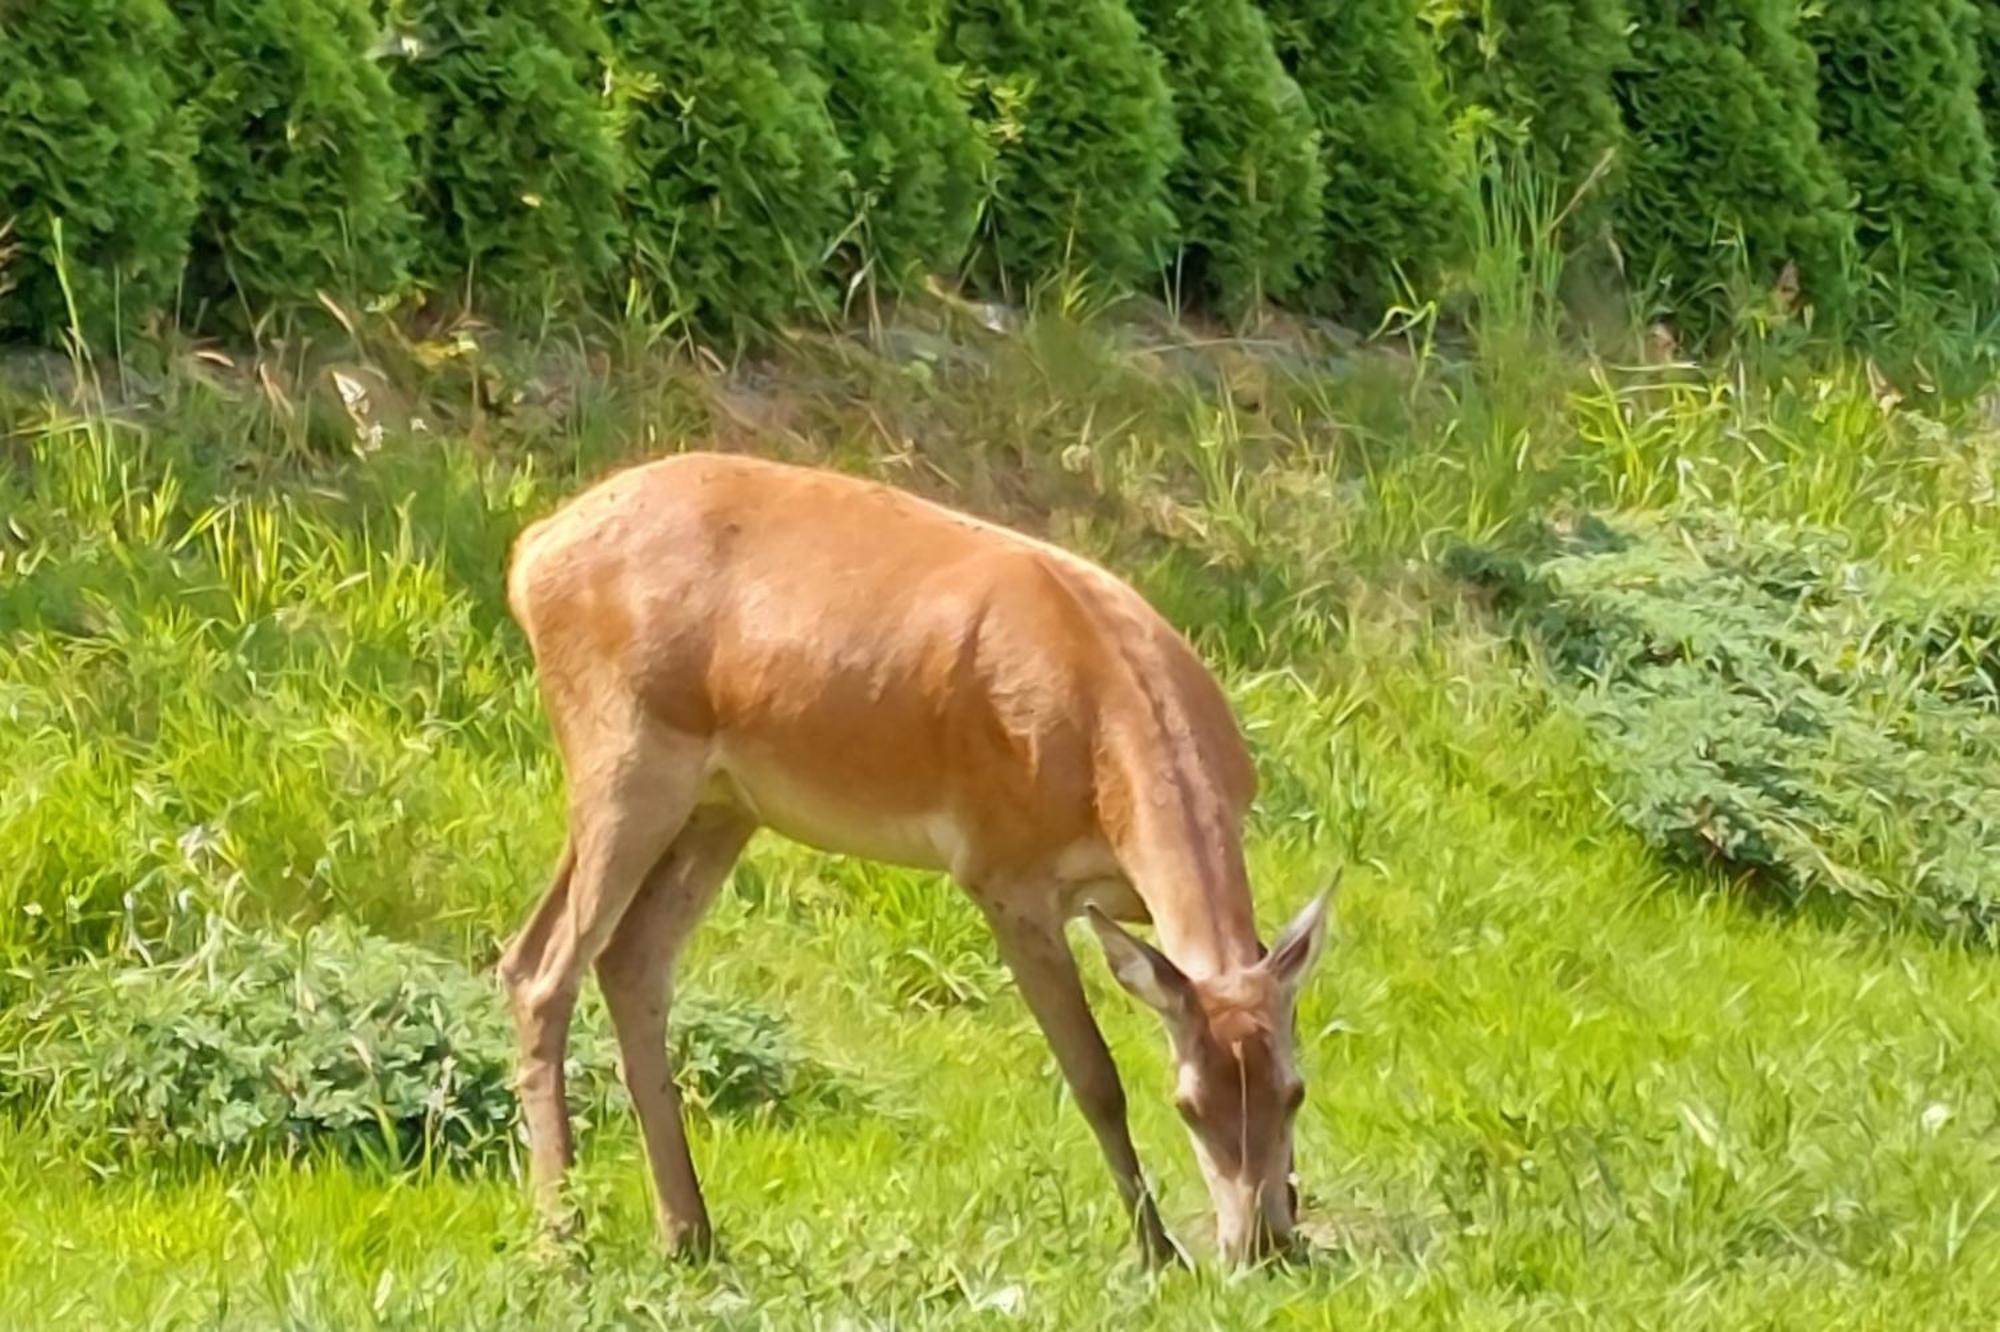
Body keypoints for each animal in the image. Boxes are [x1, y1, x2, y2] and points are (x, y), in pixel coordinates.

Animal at [500, 452, 1336, 1264]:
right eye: (1187, 1104)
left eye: (1295, 1091)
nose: (1261, 1244)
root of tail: (531, 555)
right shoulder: (1003, 873)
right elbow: (1095, 1076)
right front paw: (1159, 1253)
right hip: (623, 758)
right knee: (541, 966)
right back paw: (562, 1237)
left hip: (720, 805)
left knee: (630, 959)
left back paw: (689, 1234)